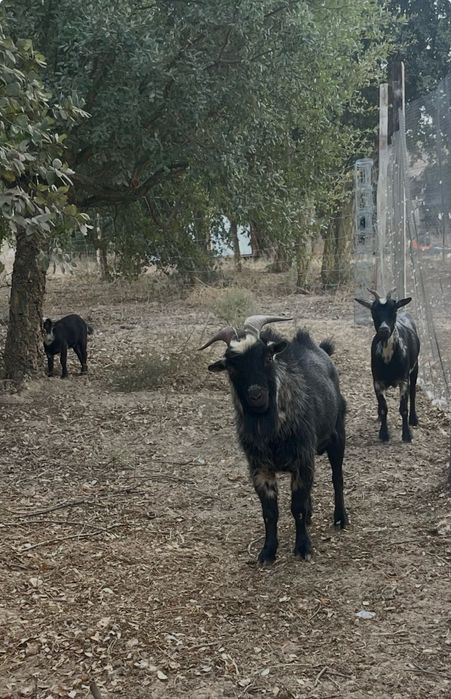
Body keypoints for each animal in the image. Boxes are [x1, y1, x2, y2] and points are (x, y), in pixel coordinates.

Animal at [199, 315, 348, 565]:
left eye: (267, 357)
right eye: (231, 366)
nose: (256, 394)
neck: (272, 432)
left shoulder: (302, 460)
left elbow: (296, 507)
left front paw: (303, 547)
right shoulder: (260, 468)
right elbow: (270, 512)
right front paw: (268, 551)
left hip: (337, 437)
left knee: (337, 478)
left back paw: (340, 518)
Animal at [355, 288, 420, 442]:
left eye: (393, 310)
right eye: (373, 311)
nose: (384, 330)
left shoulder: (404, 380)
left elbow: (403, 408)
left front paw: (407, 435)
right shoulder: (377, 381)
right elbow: (384, 408)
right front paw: (383, 434)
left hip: (415, 367)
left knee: (413, 392)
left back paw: (413, 419)